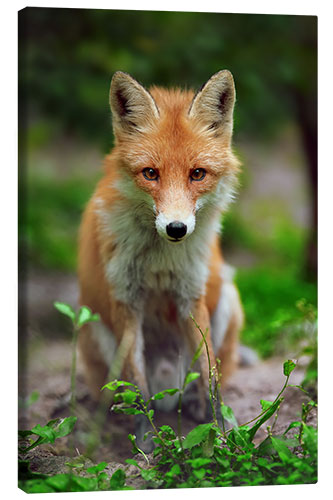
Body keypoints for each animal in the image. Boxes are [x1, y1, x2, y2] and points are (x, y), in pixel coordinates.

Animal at [78, 69, 244, 450]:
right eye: (150, 173)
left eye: (197, 174)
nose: (176, 228)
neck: (160, 261)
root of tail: (171, 387)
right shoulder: (126, 301)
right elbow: (137, 387)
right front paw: (146, 443)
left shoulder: (190, 297)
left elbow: (211, 376)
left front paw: (221, 434)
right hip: (93, 324)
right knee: (118, 394)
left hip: (227, 298)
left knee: (208, 376)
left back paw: (197, 408)